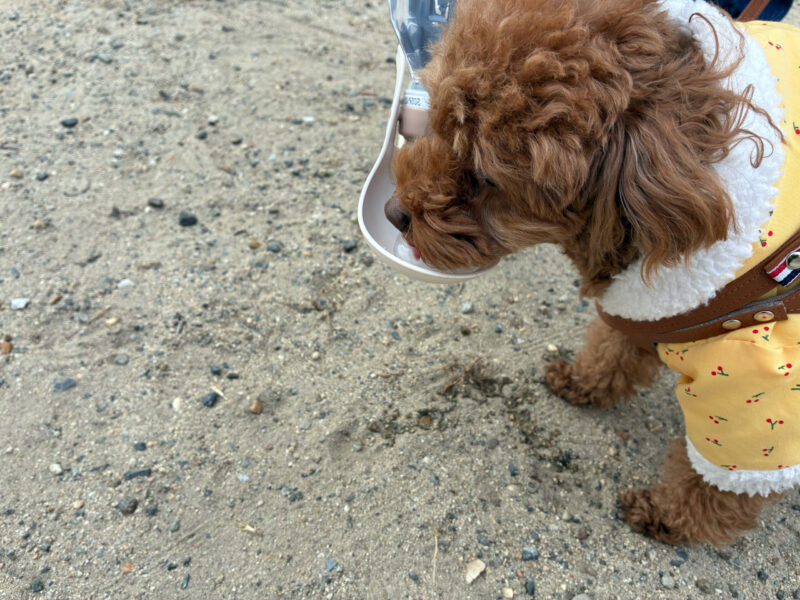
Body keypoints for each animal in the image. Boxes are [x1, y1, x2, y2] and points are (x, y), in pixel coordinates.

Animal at [385, 0, 800, 545]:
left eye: (487, 179)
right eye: (435, 122)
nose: (394, 213)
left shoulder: (757, 367)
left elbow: (726, 477)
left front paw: (671, 516)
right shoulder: (655, 303)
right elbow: (614, 349)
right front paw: (582, 382)